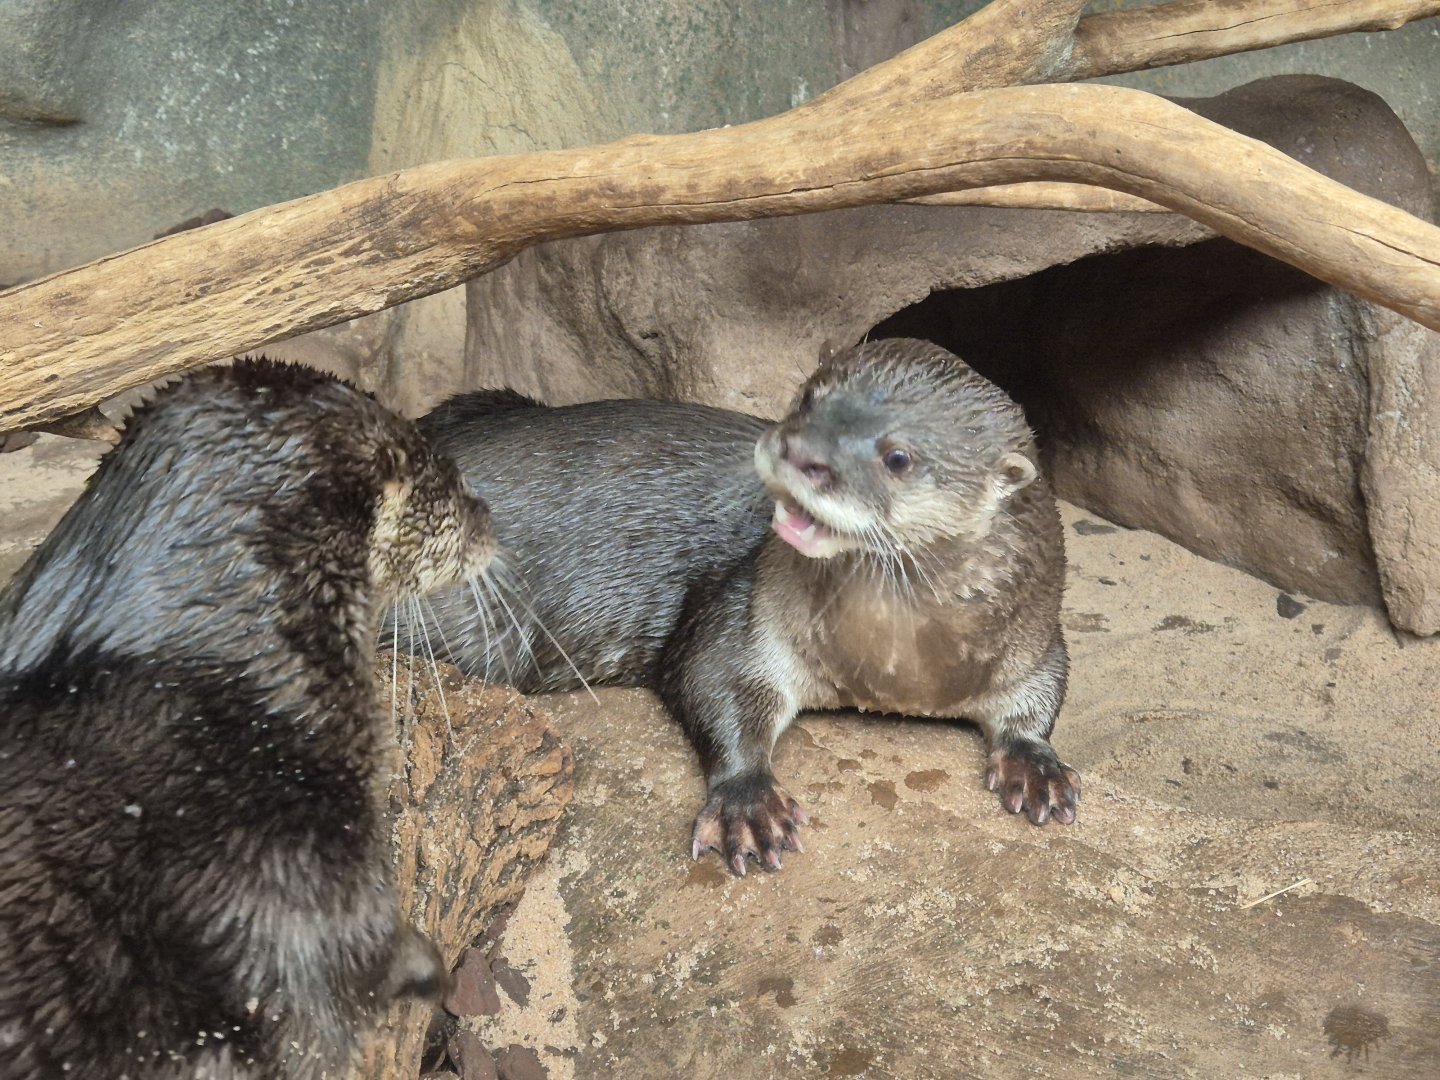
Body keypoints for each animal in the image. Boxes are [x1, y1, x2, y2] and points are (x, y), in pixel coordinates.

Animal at [409, 338, 1077, 876]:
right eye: (807, 398)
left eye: (899, 457)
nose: (799, 451)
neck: (893, 673)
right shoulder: (748, 608)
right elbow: (712, 679)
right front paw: (749, 803)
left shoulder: (1034, 639)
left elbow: (1043, 693)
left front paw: (1036, 766)